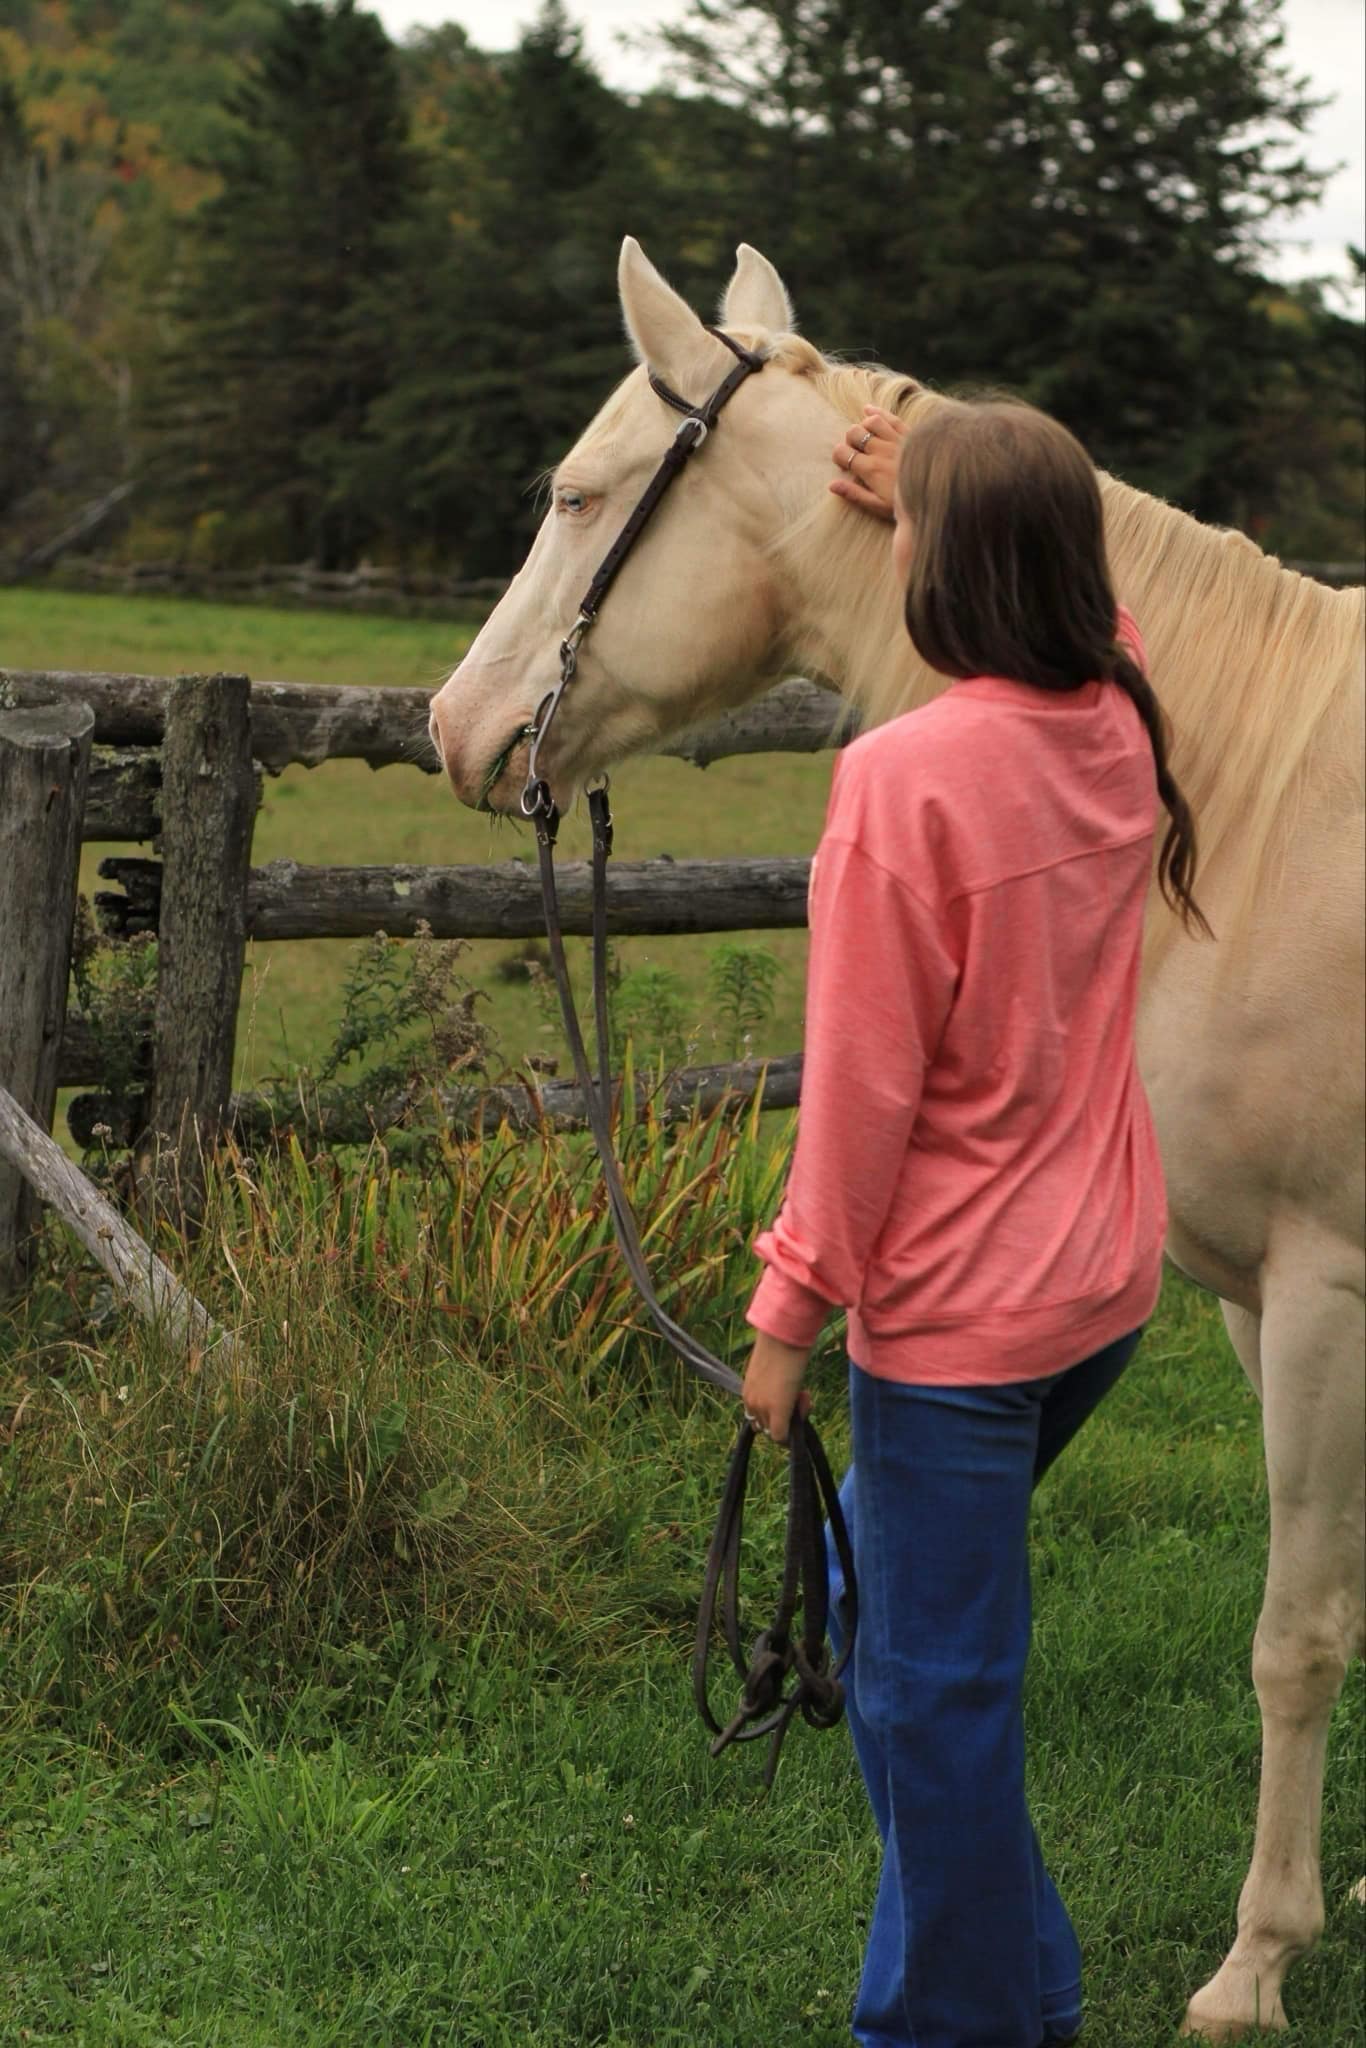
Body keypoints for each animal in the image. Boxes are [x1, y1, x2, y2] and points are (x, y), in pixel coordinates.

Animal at [430, 235, 1366, 2031]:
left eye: (575, 495)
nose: (454, 726)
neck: (1263, 811)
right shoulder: (1252, 1305)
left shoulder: (1322, 1298)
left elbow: (1294, 1638)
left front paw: (1253, 1963)